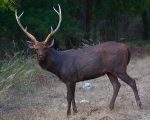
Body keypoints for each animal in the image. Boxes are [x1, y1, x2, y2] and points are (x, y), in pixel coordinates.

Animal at [14, 4, 142, 116]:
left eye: (45, 48)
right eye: (36, 49)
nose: (41, 56)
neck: (59, 66)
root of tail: (126, 47)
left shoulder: (69, 78)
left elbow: (69, 97)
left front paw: (67, 114)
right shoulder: (73, 80)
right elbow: (73, 96)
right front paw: (75, 111)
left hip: (119, 68)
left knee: (132, 82)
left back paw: (139, 105)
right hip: (110, 71)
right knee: (117, 85)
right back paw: (110, 106)